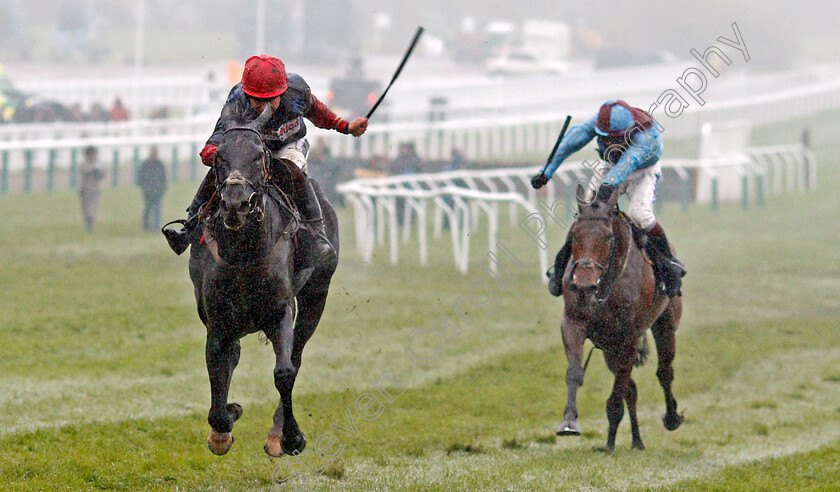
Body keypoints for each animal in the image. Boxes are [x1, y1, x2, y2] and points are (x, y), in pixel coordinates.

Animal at [189, 108, 338, 458]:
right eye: (219, 157)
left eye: (258, 156)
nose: (234, 203)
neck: (244, 253)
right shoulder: (218, 322)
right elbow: (218, 371)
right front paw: (224, 426)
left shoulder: (279, 311)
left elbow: (285, 373)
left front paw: (291, 438)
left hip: (317, 296)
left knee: (296, 356)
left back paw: (277, 433)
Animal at [556, 186, 684, 452]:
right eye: (574, 234)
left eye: (607, 237)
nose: (584, 283)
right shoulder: (573, 323)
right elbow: (575, 372)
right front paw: (569, 422)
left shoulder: (629, 337)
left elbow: (617, 396)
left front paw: (609, 445)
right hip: (608, 347)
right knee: (631, 388)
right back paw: (636, 440)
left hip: (665, 324)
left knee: (664, 371)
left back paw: (671, 417)